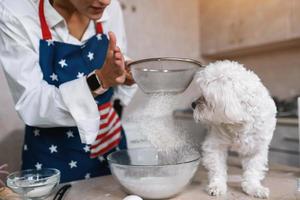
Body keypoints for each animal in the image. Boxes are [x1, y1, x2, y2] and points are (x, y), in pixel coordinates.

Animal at [190, 60, 276, 198]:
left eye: (206, 97)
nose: (192, 104)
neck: (238, 123)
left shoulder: (257, 149)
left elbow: (253, 171)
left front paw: (254, 188)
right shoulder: (215, 145)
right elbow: (217, 169)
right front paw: (217, 186)